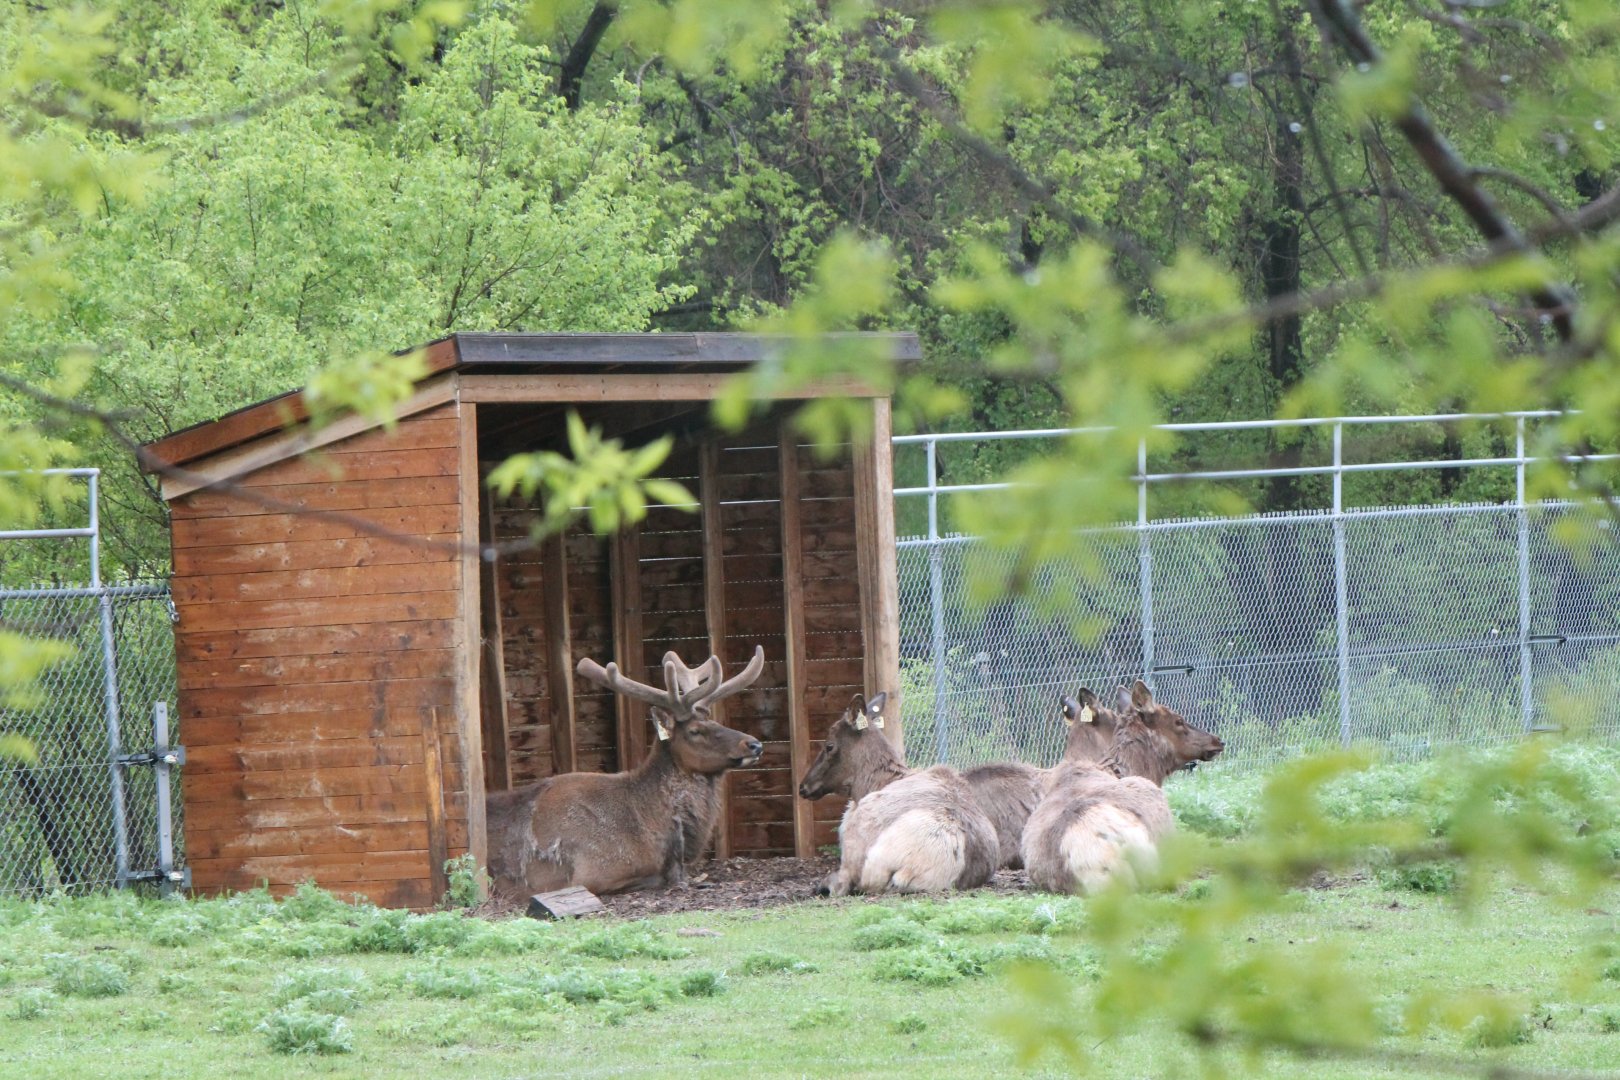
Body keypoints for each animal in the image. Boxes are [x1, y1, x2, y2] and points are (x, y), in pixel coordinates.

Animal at [484, 646, 765, 898]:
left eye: (715, 721)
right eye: (695, 731)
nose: (754, 744)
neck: (653, 826)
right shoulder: (591, 872)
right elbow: (658, 878)